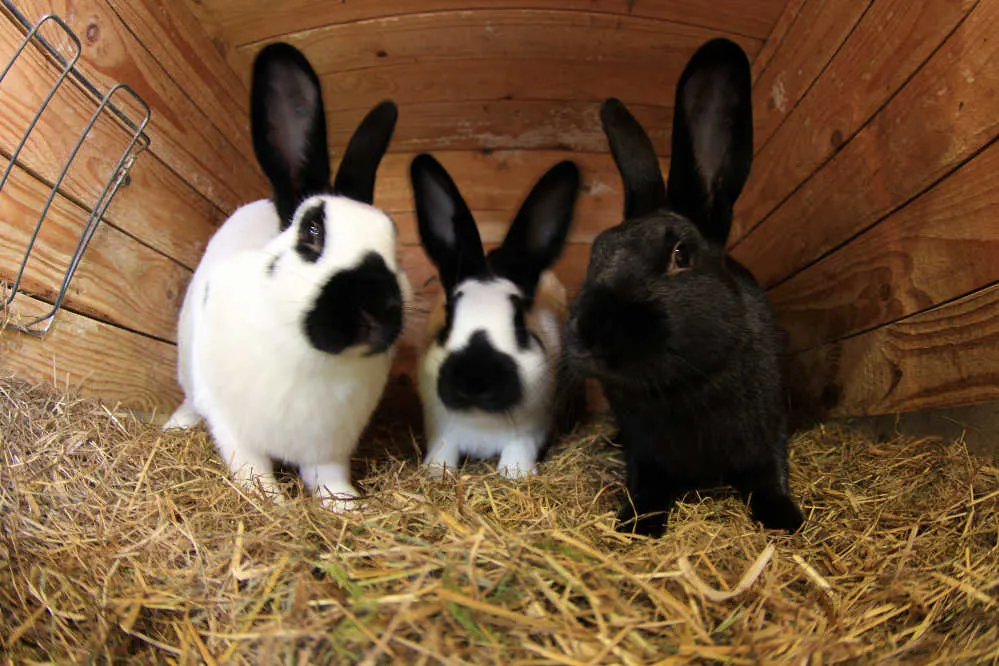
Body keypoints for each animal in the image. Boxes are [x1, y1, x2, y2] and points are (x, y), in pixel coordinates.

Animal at [164, 42, 410, 508]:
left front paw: (349, 506)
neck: (311, 360)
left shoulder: (328, 449)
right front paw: (270, 504)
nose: (379, 307)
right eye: (312, 230)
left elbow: (330, 479)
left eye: (393, 236)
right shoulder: (233, 428)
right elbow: (251, 470)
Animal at [410, 154, 584, 478]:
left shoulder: (528, 433)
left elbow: (516, 456)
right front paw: (436, 472)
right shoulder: (441, 431)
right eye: (448, 318)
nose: (475, 380)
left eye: (519, 323)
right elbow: (442, 453)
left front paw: (515, 473)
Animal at [564, 37, 804, 536]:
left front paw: (786, 520)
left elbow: (770, 478)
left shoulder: (768, 436)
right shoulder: (646, 458)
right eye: (595, 253)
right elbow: (647, 488)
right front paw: (635, 525)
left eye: (681, 254)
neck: (682, 386)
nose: (590, 333)